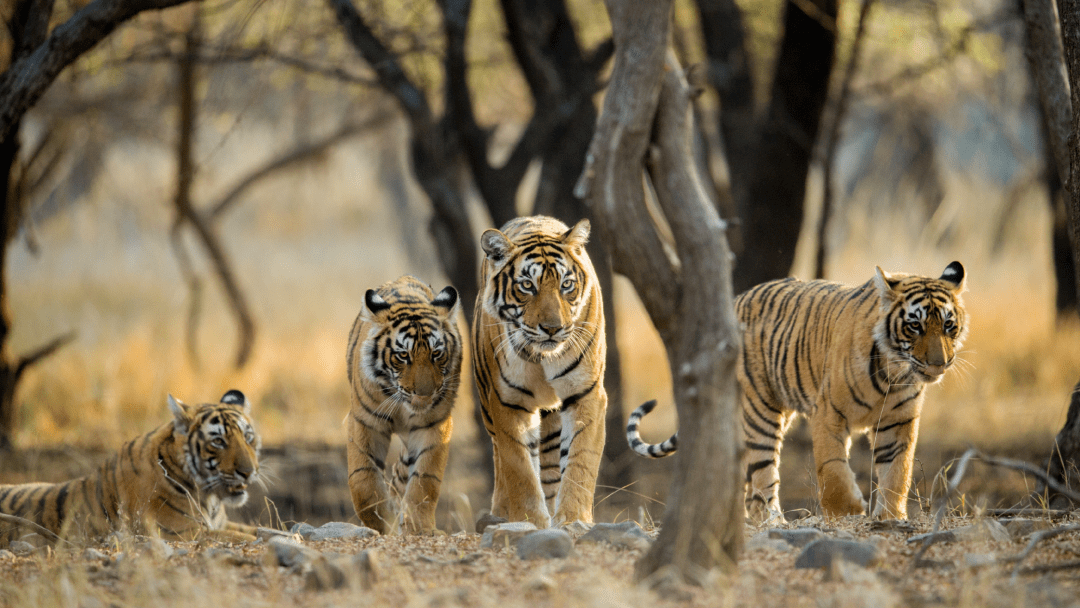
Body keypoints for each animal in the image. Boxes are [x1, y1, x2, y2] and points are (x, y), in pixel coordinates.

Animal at [0, 390, 260, 544]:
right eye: (218, 441)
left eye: (248, 437)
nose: (248, 472)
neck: (210, 498)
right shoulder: (183, 532)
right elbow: (247, 537)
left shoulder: (220, 524)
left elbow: (260, 530)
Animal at [345, 275, 462, 534]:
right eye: (403, 355)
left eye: (436, 353)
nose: (425, 393)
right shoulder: (365, 422)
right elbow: (363, 480)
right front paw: (380, 523)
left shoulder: (434, 425)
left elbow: (425, 480)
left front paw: (418, 527)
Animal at [473, 215, 607, 527]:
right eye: (527, 286)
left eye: (566, 284)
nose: (552, 328)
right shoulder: (508, 401)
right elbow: (519, 468)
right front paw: (531, 521)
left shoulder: (586, 393)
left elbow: (580, 461)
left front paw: (573, 519)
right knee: (501, 460)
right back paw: (500, 513)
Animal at [627, 262, 968, 522]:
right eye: (915, 326)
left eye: (948, 326)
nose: (940, 362)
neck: (893, 373)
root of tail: (735, 300)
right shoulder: (828, 413)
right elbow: (832, 468)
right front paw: (848, 510)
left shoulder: (898, 422)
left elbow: (898, 471)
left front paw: (891, 517)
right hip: (760, 411)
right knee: (763, 475)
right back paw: (772, 521)